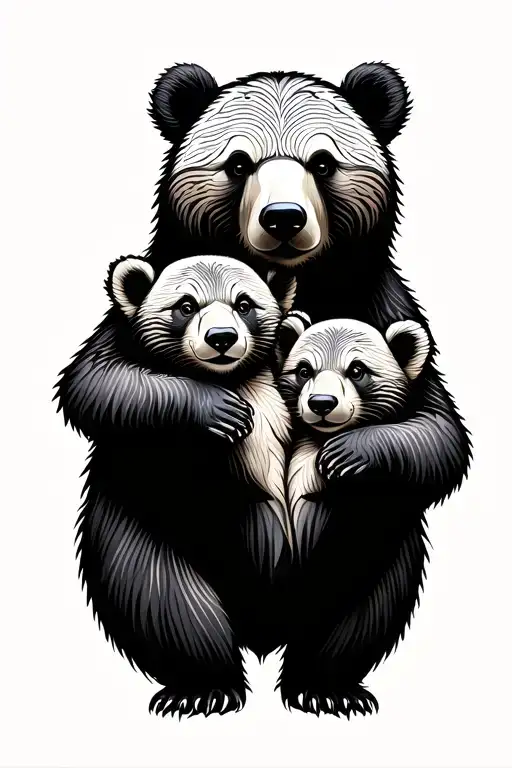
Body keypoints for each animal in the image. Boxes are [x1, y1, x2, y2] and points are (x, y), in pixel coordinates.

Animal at [69, 253, 297, 718]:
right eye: (186, 306)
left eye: (244, 304)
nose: (222, 338)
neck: (230, 377)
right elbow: (99, 384)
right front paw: (219, 411)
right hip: (146, 536)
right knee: (169, 603)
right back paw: (205, 687)